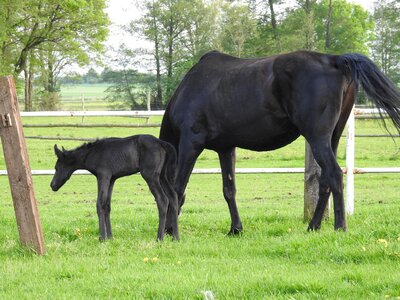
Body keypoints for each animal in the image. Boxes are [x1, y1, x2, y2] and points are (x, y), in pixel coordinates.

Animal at [50, 135, 178, 240]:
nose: (52, 185)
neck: (92, 153)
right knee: (173, 198)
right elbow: (107, 205)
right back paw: (176, 237)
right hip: (162, 176)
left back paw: (159, 238)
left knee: (163, 199)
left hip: (150, 175)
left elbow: (99, 204)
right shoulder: (112, 179)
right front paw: (110, 237)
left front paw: (102, 238)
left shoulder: (103, 176)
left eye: (57, 167)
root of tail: (161, 142)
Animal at [159, 50, 400, 234]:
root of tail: (334, 59)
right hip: (332, 138)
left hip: (317, 138)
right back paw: (313, 226)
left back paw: (340, 227)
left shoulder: (191, 144)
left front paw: (171, 232)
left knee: (334, 174)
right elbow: (229, 189)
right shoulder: (225, 149)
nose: (165, 229)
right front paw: (235, 229)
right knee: (325, 181)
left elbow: (177, 188)